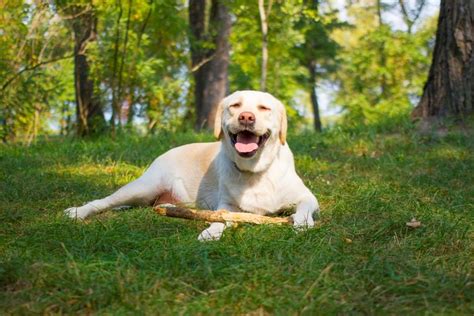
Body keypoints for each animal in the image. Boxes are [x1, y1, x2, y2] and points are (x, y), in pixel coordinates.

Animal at [65, 90, 320, 241]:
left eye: (264, 108)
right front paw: (211, 232)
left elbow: (303, 209)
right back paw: (78, 211)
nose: (246, 117)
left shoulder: (308, 197)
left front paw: (302, 224)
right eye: (235, 106)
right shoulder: (226, 205)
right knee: (103, 202)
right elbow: (222, 217)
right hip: (143, 186)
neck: (255, 171)